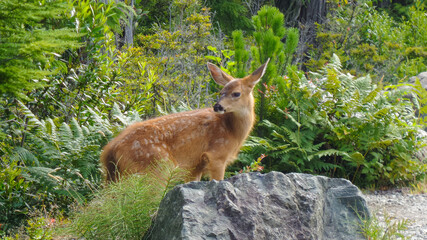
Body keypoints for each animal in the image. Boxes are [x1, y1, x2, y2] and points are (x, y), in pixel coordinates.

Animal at [100, 59, 270, 182]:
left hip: (113, 176)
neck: (231, 131)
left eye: (236, 93)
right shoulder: (216, 155)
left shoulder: (195, 166)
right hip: (159, 167)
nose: (217, 106)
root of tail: (110, 150)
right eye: (221, 92)